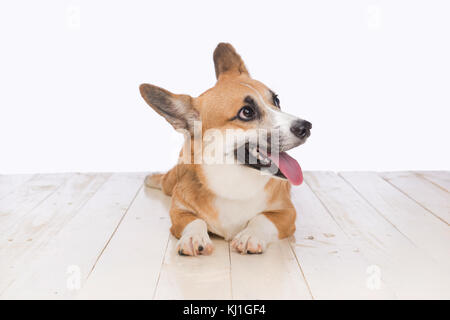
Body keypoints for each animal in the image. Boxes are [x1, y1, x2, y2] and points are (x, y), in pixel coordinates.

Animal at [139, 43, 312, 256]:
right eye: (247, 112)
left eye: (276, 101)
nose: (307, 127)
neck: (233, 182)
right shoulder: (178, 212)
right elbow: (195, 221)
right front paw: (193, 237)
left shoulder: (286, 213)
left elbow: (262, 219)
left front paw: (250, 235)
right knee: (165, 181)